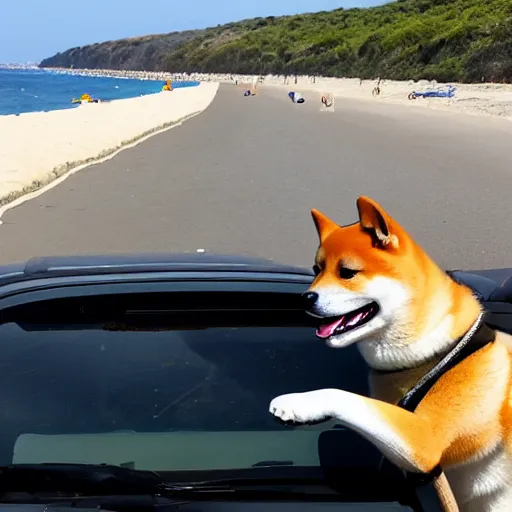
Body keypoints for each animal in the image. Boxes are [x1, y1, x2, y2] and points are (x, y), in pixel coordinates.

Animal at [270, 197, 512, 512]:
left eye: (347, 272)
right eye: (316, 269)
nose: (306, 298)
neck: (438, 351)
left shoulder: (423, 440)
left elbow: (341, 395)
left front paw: (298, 403)